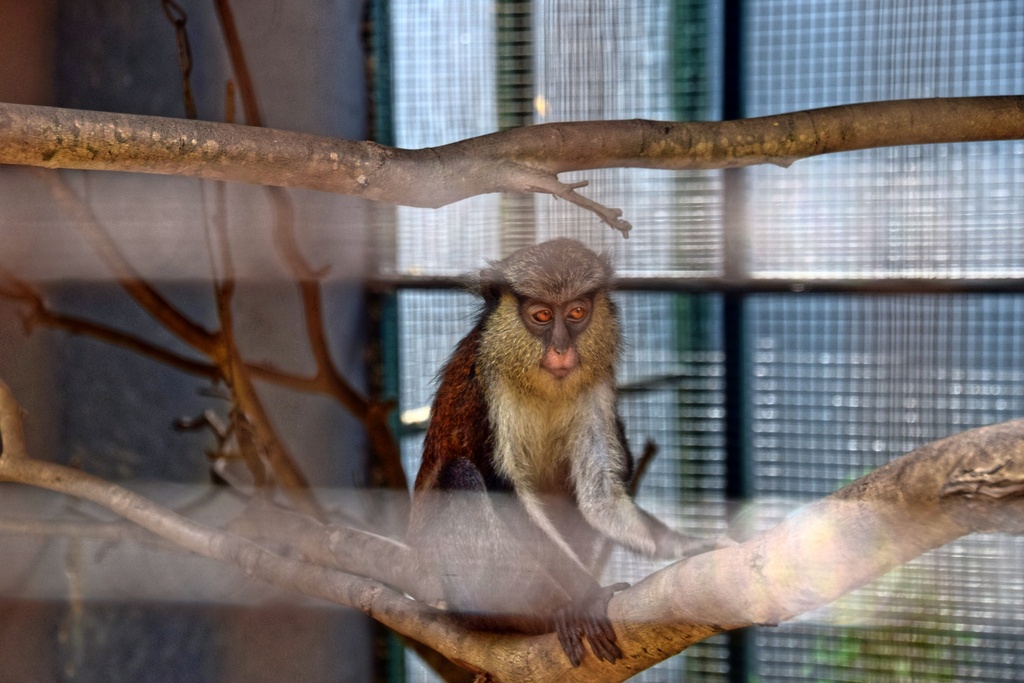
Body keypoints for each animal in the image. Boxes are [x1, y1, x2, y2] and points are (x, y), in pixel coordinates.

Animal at [408, 238, 720, 667]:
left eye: (576, 313)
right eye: (541, 315)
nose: (561, 348)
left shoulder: (597, 386)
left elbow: (599, 497)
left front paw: (680, 544)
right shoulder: (485, 388)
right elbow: (509, 496)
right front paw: (586, 597)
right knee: (458, 476)